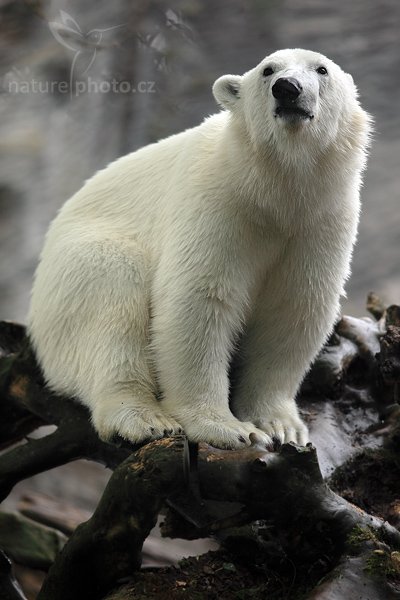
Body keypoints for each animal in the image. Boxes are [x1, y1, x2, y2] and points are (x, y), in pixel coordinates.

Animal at [28, 48, 372, 450]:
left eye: (322, 69)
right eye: (268, 70)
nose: (287, 88)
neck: (274, 190)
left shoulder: (320, 220)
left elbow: (293, 309)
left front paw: (281, 426)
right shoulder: (218, 200)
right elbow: (199, 300)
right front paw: (229, 428)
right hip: (74, 272)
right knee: (113, 299)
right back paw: (145, 419)